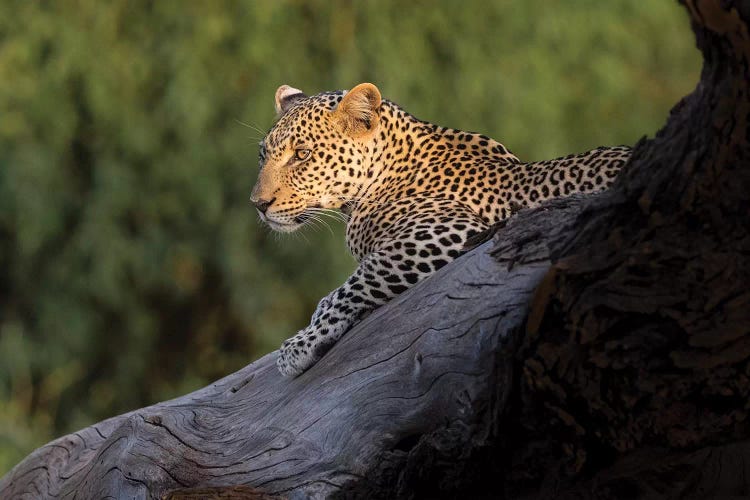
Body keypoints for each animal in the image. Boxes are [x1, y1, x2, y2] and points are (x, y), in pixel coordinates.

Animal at [250, 82, 632, 376]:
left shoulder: (448, 231)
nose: (258, 203)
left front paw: (300, 345)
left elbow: (353, 284)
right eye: (263, 155)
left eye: (302, 154)